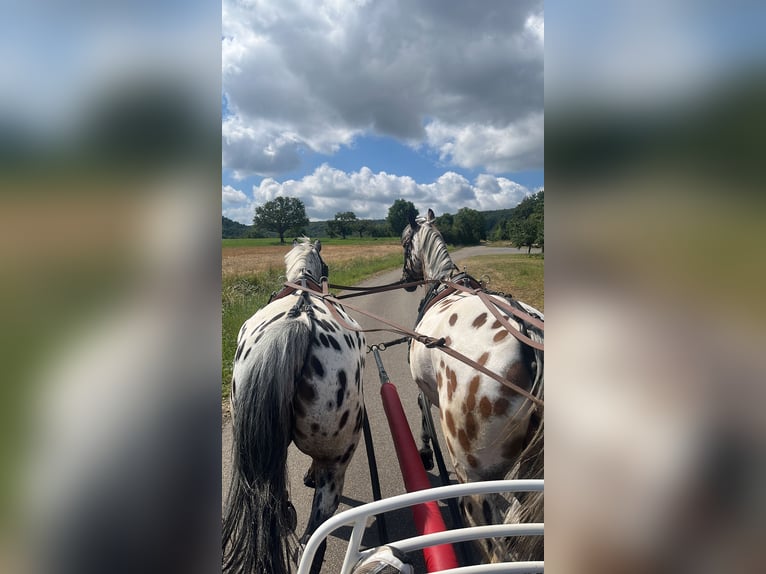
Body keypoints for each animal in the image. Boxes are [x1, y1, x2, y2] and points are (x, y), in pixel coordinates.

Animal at [400, 210, 544, 563]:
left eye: (404, 241)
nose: (405, 278)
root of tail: (530, 341)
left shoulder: (424, 388)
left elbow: (421, 410)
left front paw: (425, 452)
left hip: (475, 476)